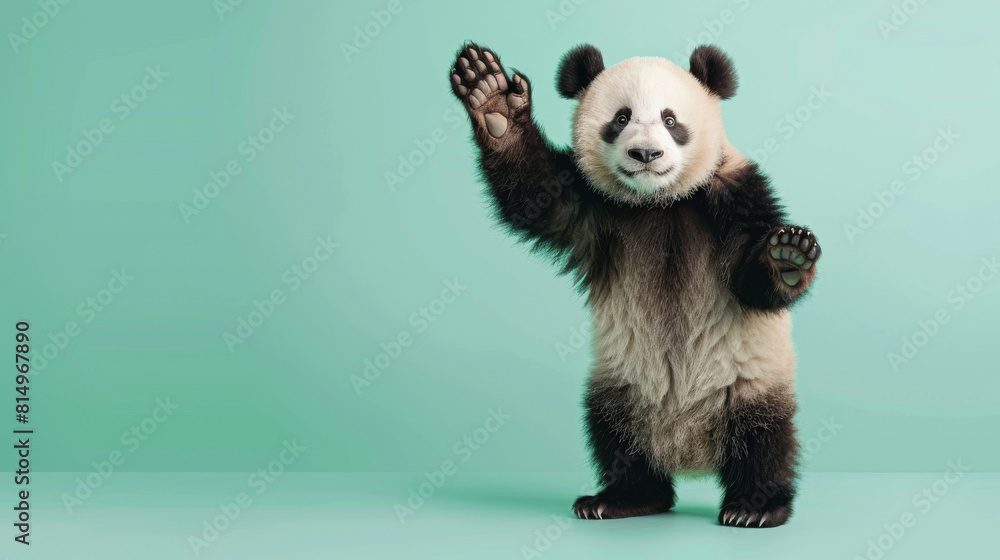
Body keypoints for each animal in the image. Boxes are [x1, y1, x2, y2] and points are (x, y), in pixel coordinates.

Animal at [449, 42, 821, 528]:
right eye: (621, 118)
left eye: (670, 119)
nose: (646, 155)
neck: (662, 202)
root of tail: (688, 448)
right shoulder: (595, 207)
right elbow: (538, 199)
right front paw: (491, 99)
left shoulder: (734, 190)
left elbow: (755, 282)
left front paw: (789, 256)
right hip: (623, 384)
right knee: (614, 437)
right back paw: (624, 498)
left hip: (748, 381)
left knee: (764, 439)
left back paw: (755, 507)